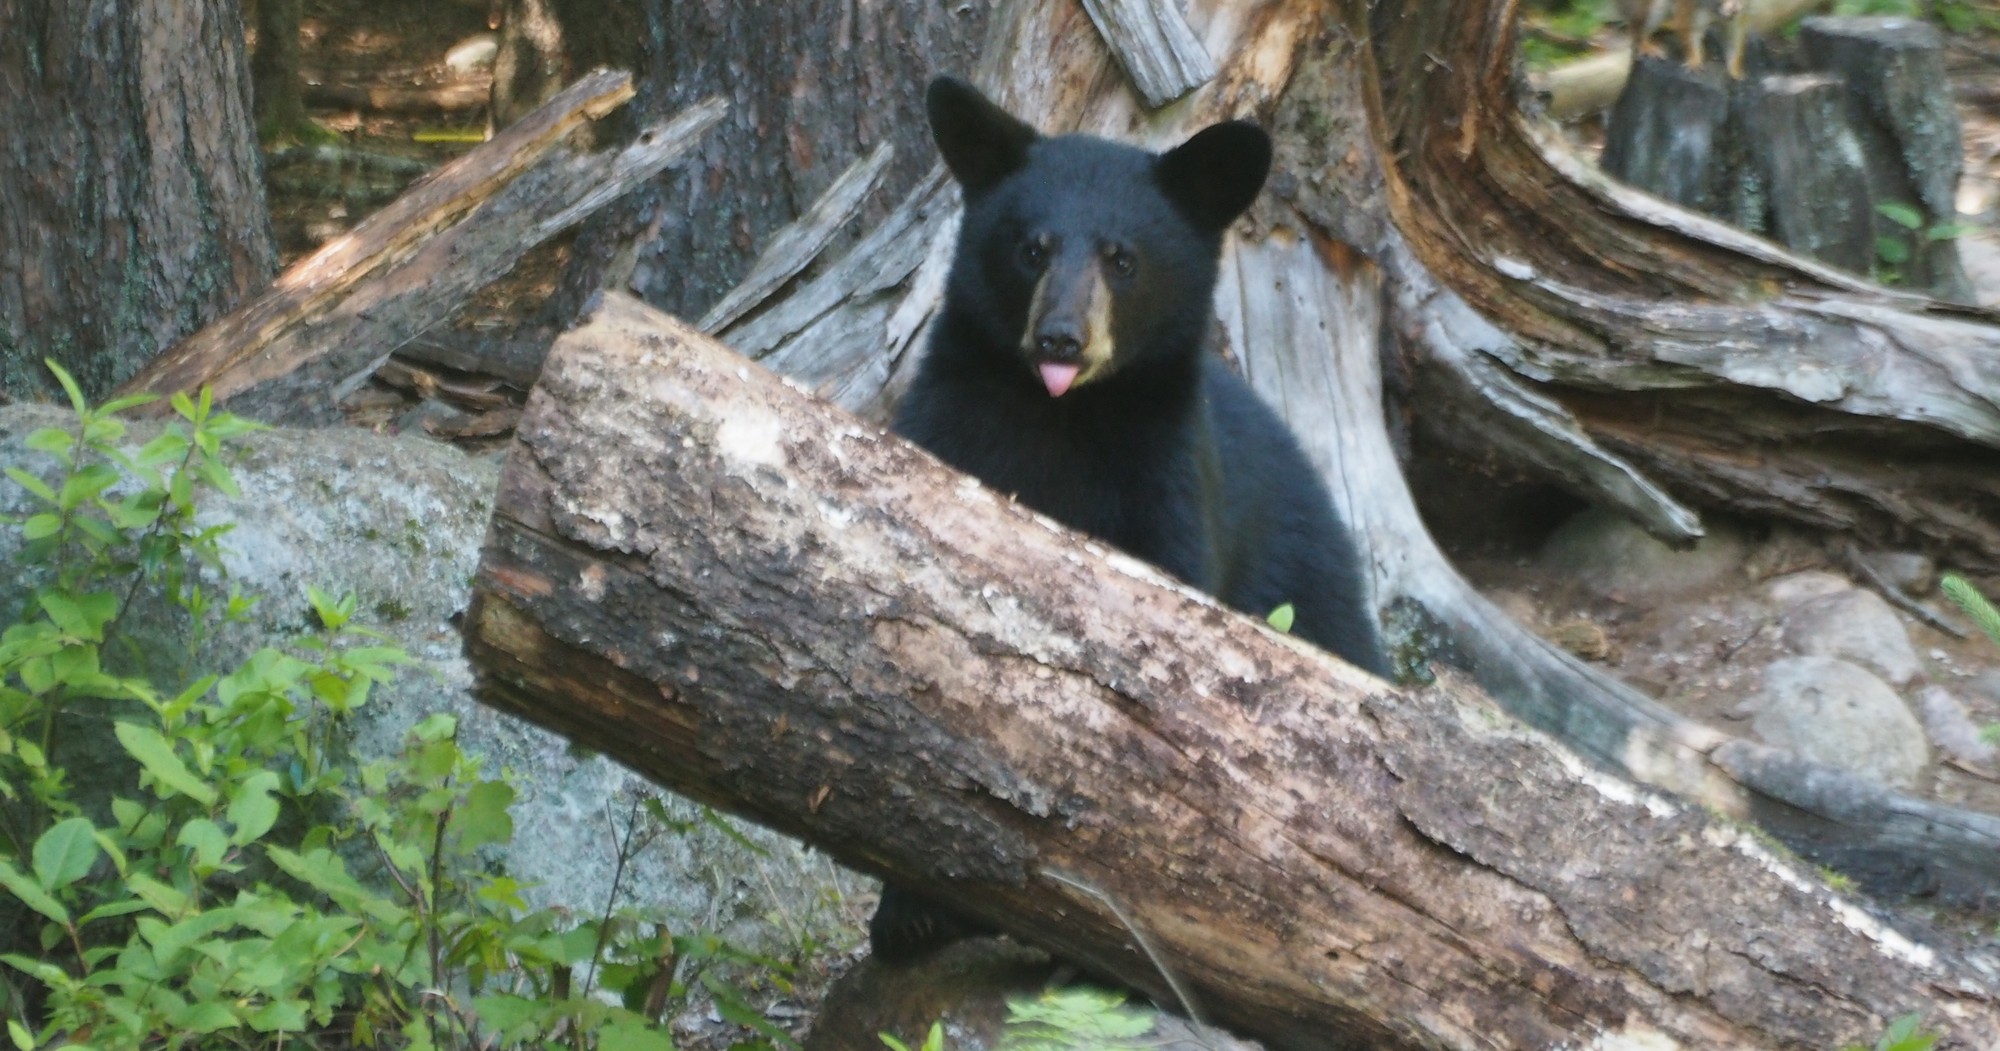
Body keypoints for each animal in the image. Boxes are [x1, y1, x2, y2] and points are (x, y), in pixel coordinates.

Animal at [870, 77, 1391, 965]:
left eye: (1123, 258)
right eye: (1032, 247)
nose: (1061, 339)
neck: (1061, 419)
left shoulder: (1165, 478)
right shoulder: (950, 433)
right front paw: (908, 910)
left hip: (1312, 586)